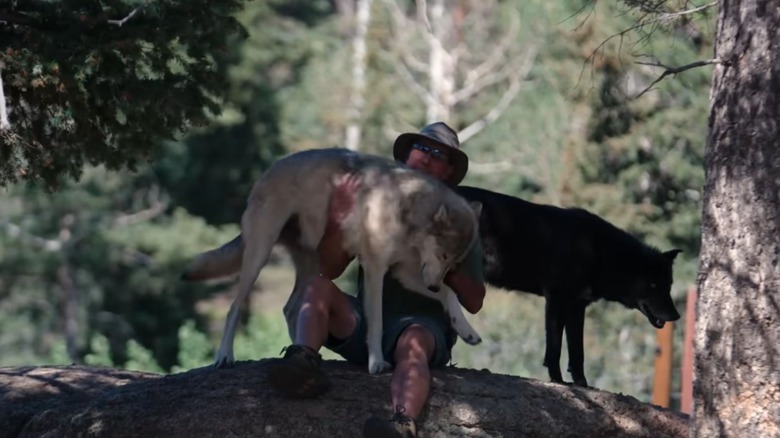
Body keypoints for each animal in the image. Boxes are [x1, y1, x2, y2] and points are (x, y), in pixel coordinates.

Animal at [455, 185, 681, 387]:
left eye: (668, 285)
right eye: (653, 284)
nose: (676, 316)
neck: (599, 253)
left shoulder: (577, 307)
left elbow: (577, 351)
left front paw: (582, 384)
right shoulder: (556, 300)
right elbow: (555, 348)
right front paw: (557, 380)